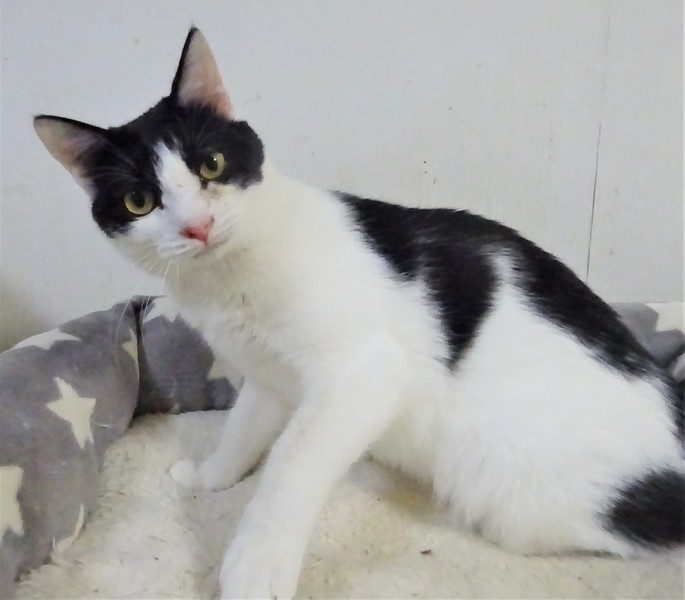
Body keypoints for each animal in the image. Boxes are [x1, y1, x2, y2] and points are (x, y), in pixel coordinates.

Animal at [34, 28, 683, 600]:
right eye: (139, 201)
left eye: (211, 165)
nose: (197, 226)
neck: (234, 274)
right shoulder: (269, 375)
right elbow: (244, 427)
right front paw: (213, 475)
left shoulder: (362, 374)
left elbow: (291, 464)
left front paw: (253, 568)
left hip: (505, 486)